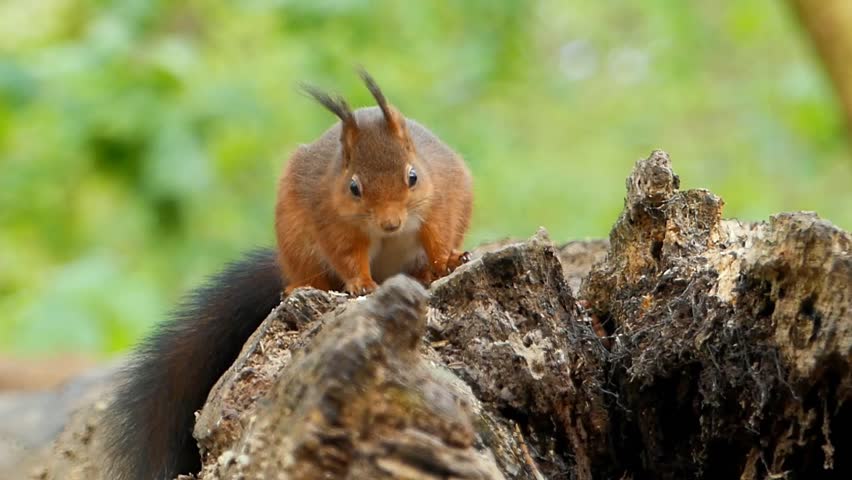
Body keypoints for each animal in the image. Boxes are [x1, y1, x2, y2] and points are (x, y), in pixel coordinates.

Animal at [104, 69, 473, 480]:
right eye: (354, 187)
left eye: (413, 177)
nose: (391, 223)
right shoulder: (332, 220)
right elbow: (347, 256)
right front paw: (360, 283)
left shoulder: (442, 196)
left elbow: (439, 232)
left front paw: (445, 261)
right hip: (294, 237)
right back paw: (303, 285)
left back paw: (424, 271)